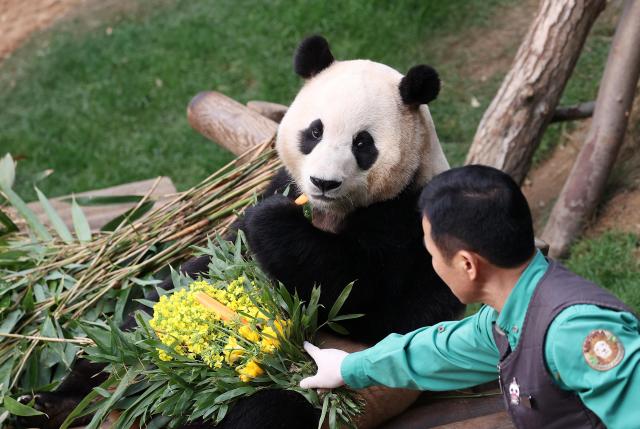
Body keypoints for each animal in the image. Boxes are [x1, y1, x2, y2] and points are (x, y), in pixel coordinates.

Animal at [17, 36, 462, 428]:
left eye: (362, 144)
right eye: (314, 131)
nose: (323, 182)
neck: (328, 212)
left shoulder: (409, 219)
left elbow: (370, 302)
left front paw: (273, 224)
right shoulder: (280, 184)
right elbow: (212, 258)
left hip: (312, 388)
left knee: (262, 410)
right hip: (134, 344)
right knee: (125, 335)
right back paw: (51, 404)